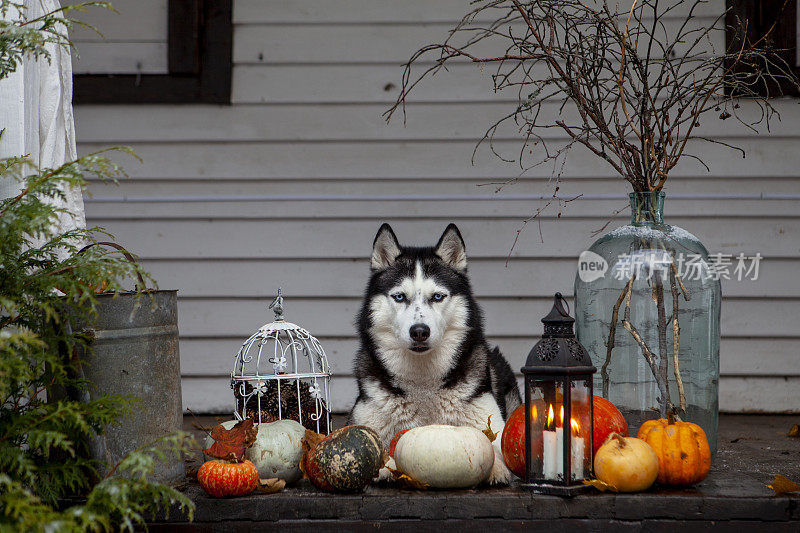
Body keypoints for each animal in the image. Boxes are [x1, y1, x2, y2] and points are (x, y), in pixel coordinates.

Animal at [350, 222, 520, 484]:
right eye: (400, 297)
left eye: (438, 297)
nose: (419, 331)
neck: (423, 381)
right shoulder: (362, 424)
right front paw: (386, 467)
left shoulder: (493, 426)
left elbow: (496, 449)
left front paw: (496, 468)